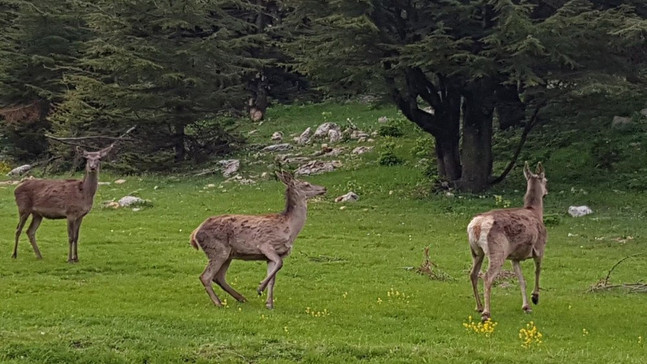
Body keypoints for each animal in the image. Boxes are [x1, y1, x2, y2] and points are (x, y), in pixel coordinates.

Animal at [190, 172, 326, 308]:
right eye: (306, 184)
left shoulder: (274, 255)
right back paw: (218, 303)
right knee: (205, 276)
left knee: (218, 277)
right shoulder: (265, 245)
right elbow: (280, 264)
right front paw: (260, 288)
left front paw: (269, 304)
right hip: (217, 250)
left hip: (228, 254)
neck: (290, 230)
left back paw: (241, 298)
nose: (324, 188)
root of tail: (195, 233)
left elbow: (273, 278)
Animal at [468, 162, 548, 322]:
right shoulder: (539, 247)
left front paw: (526, 306)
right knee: (487, 276)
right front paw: (535, 297)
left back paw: (479, 307)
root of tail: (476, 225)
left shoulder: (514, 257)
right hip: (497, 250)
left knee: (473, 274)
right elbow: (537, 271)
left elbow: (521, 280)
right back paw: (486, 313)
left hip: (476, 251)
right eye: (546, 180)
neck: (536, 212)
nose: (546, 192)